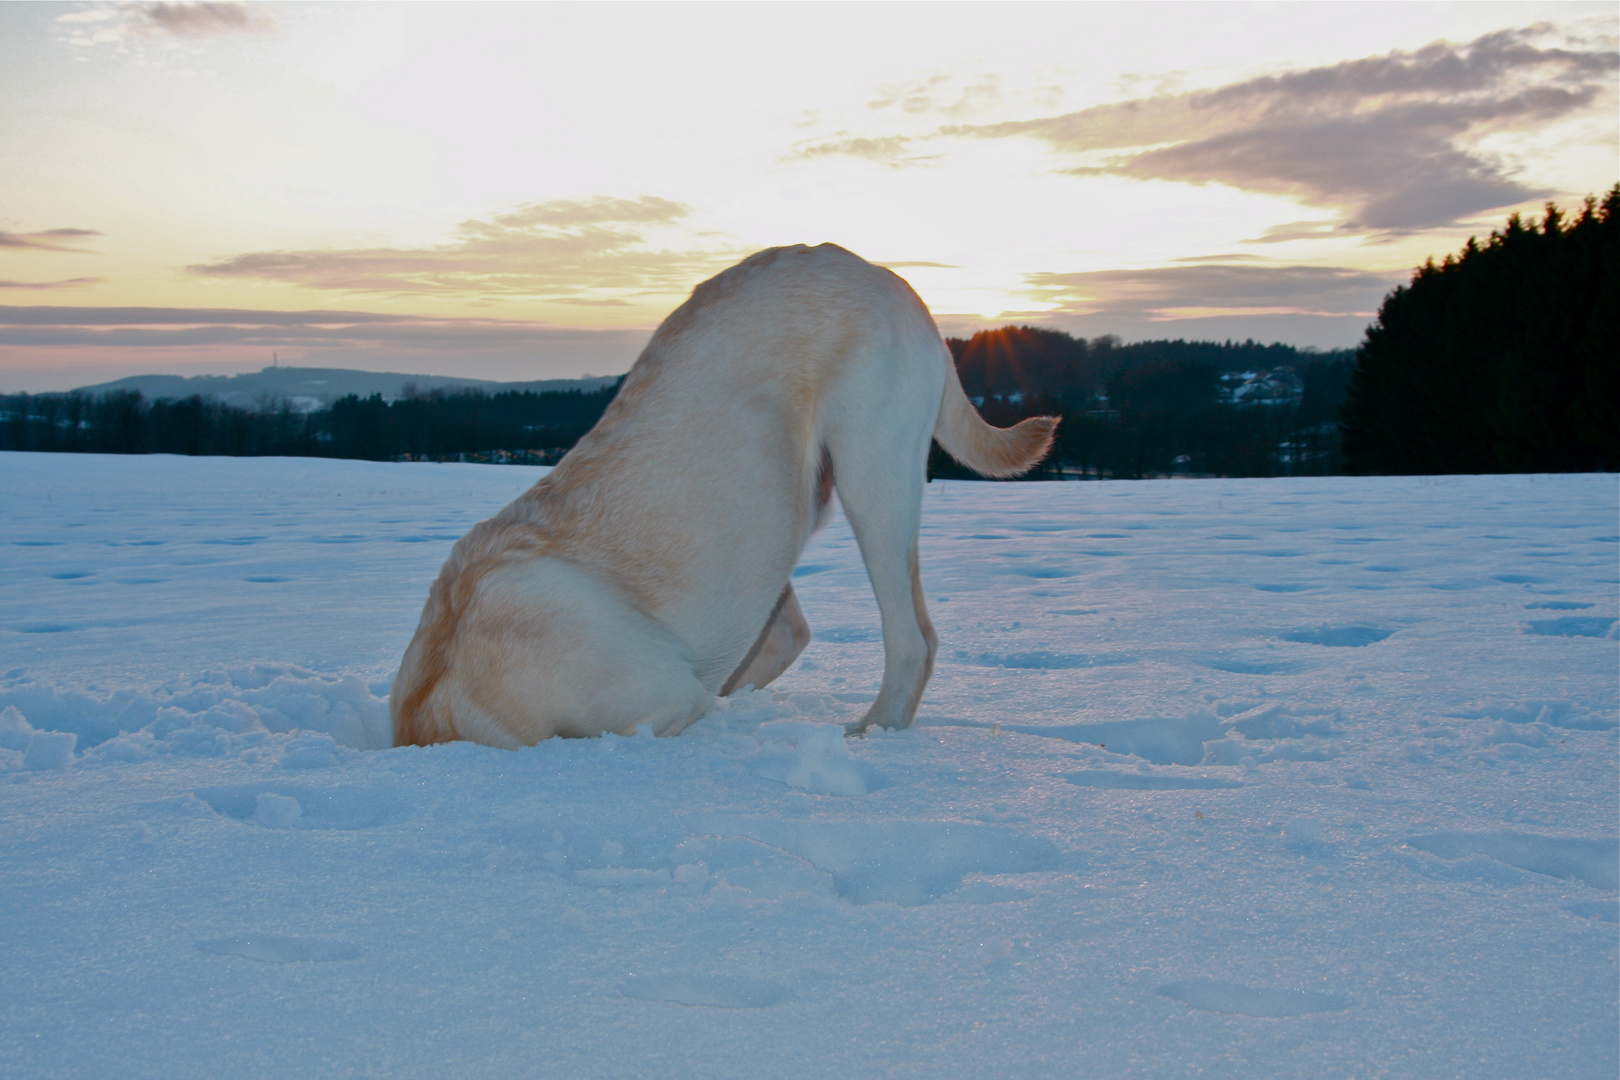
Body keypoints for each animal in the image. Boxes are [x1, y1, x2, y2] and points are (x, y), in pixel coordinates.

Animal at [388, 244, 1049, 748]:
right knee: (791, 629)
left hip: (872, 469)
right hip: (776, 511)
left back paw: (871, 731)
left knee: (910, 639)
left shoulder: (661, 701)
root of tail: (878, 270)